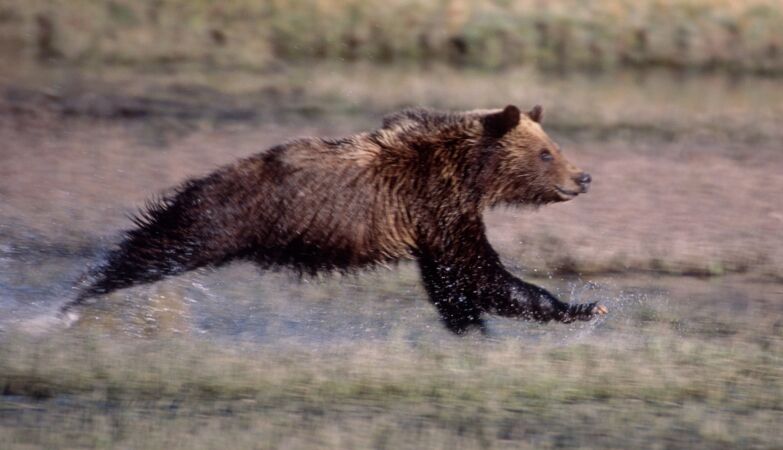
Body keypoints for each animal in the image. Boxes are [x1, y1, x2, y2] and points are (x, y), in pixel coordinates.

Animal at [60, 104, 607, 334]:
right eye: (546, 152)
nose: (583, 177)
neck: (470, 169)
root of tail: (204, 180)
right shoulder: (436, 200)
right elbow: (480, 272)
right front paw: (584, 307)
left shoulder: (431, 221)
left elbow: (450, 281)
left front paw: (470, 327)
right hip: (219, 218)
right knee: (158, 246)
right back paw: (74, 297)